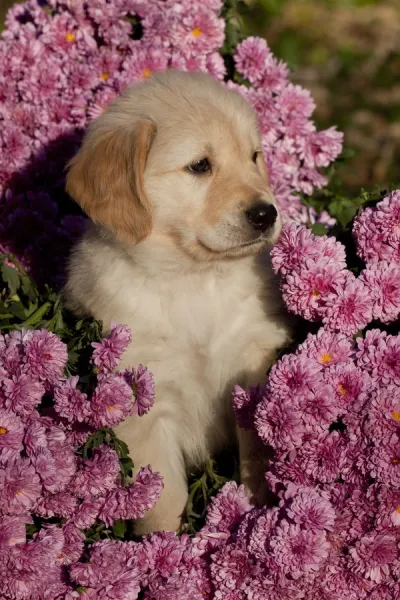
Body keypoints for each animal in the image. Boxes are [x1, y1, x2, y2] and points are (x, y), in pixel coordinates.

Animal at [65, 70, 290, 536]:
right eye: (200, 166)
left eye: (254, 157)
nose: (266, 214)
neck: (193, 278)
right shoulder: (143, 399)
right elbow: (164, 498)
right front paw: (165, 549)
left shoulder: (252, 357)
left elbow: (257, 447)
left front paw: (257, 511)